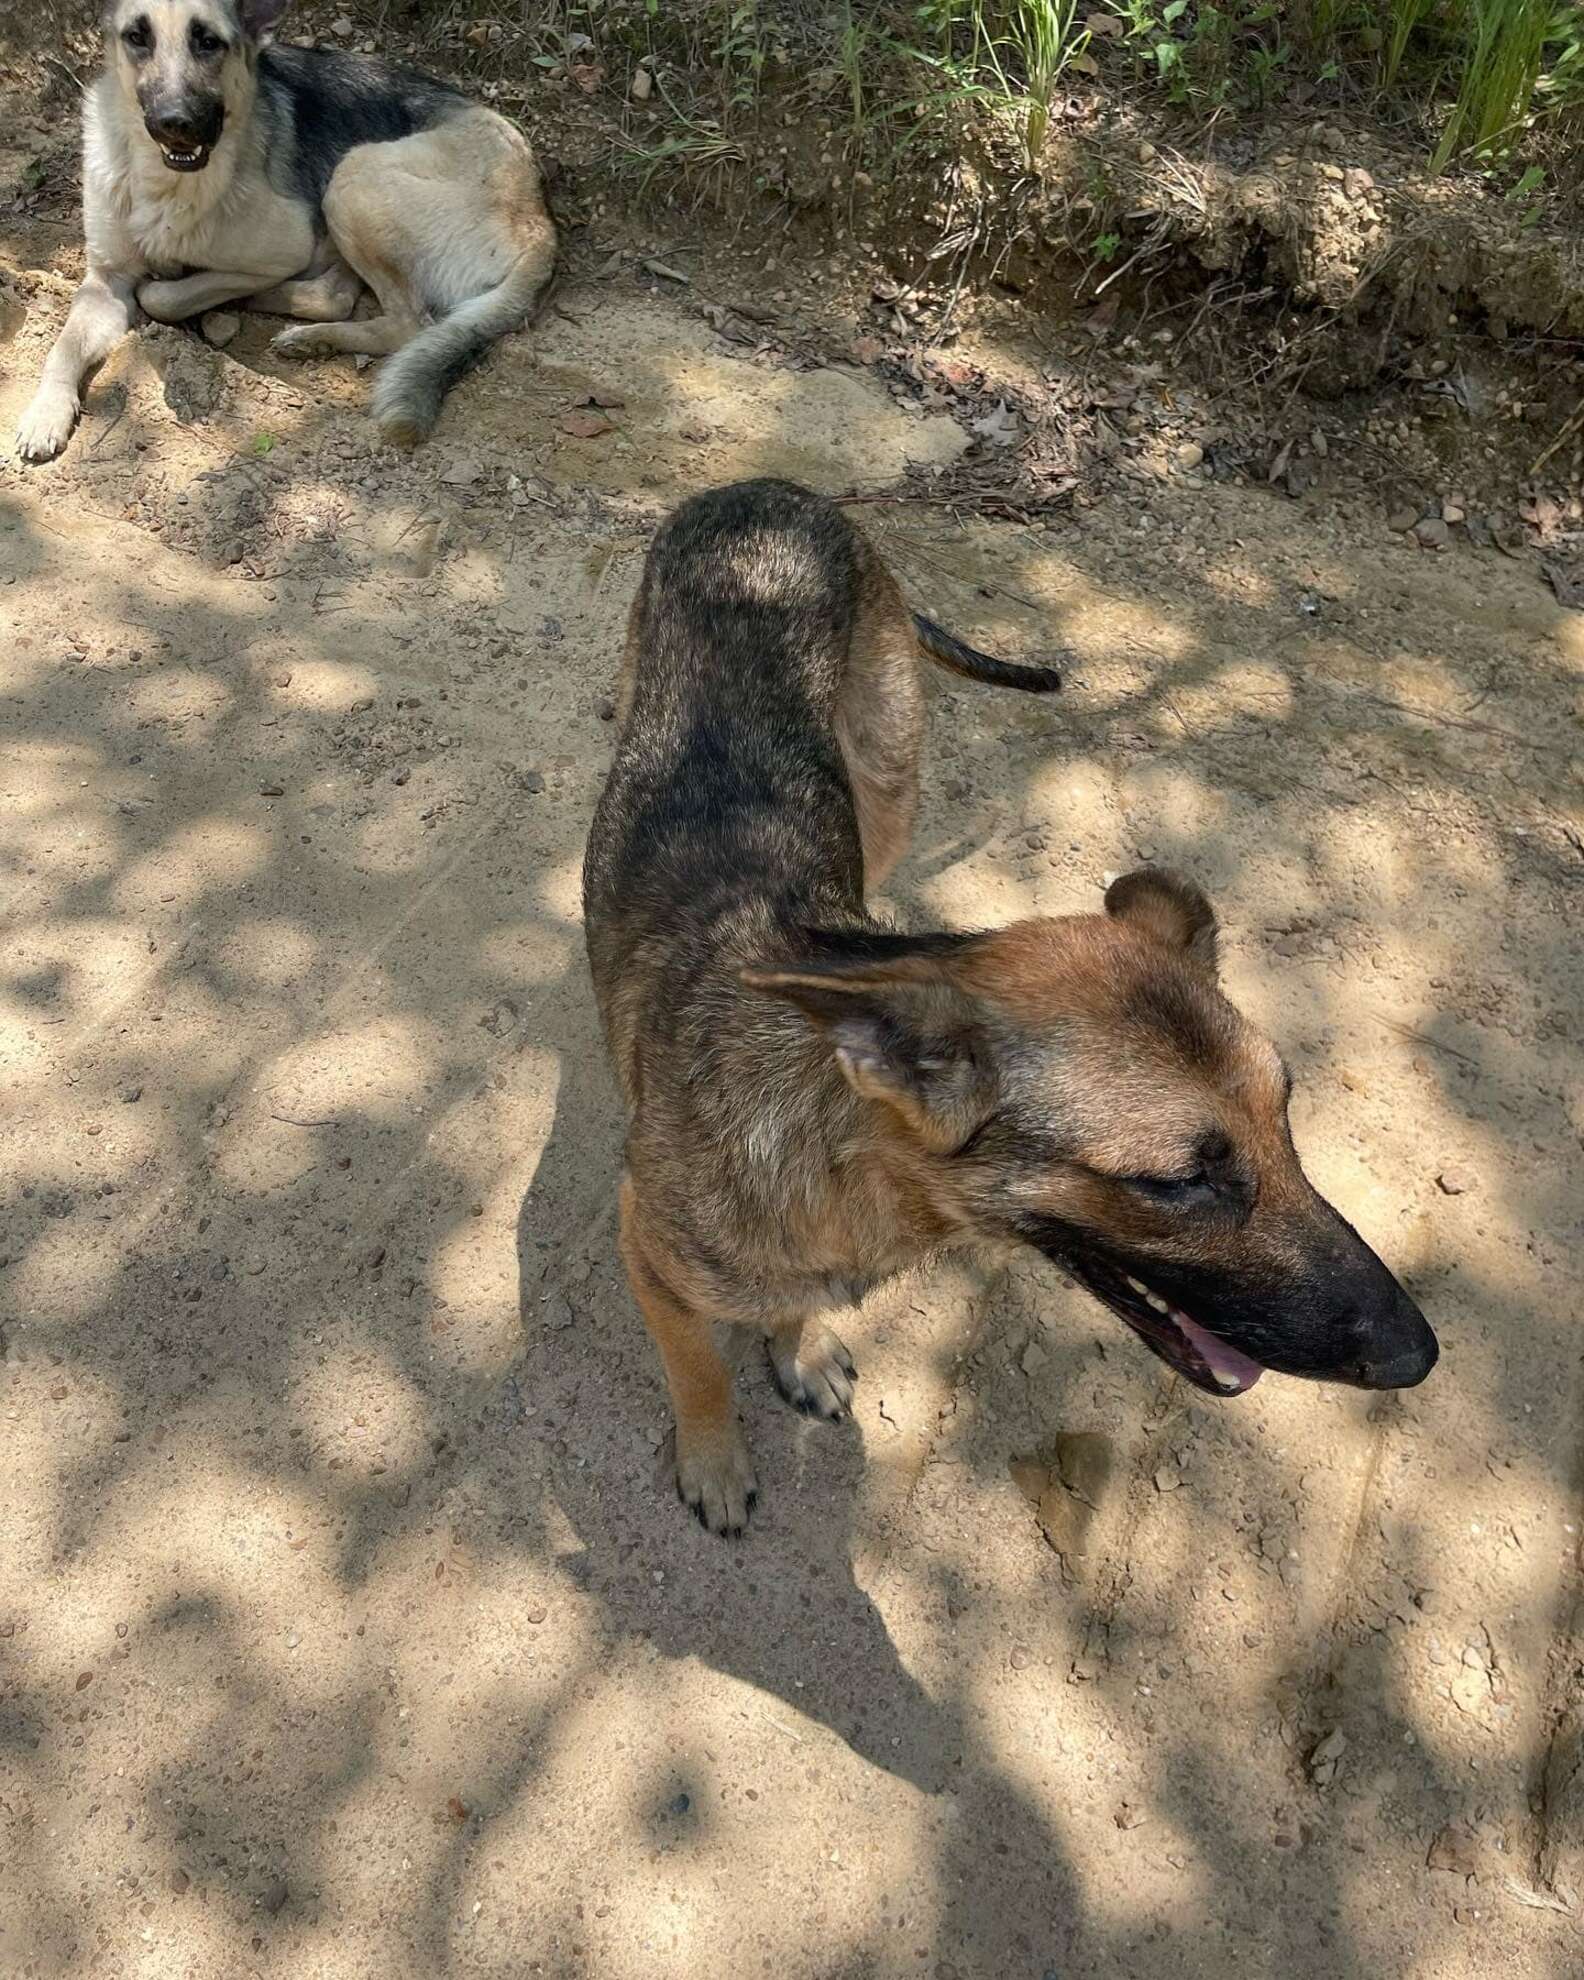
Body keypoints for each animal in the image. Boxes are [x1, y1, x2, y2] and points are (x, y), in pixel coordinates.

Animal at [13, 1, 550, 455]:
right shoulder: (106, 280)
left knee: (399, 320)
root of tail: (540, 220)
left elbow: (161, 297)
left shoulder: (286, 246)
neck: (163, 180)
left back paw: (296, 329)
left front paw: (197, 291)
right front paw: (45, 411)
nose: (175, 123)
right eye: (136, 37)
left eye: (209, 42)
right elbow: (64, 345)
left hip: (353, 176)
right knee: (348, 293)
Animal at [586, 475, 1441, 1528]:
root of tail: (769, 487)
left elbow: (790, 1306)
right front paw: (712, 1458)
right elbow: (698, 1369)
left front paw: (798, 1345)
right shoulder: (650, 1256)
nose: (1418, 1355)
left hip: (884, 785)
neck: (839, 1164)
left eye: (1286, 1115)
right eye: (1174, 1182)